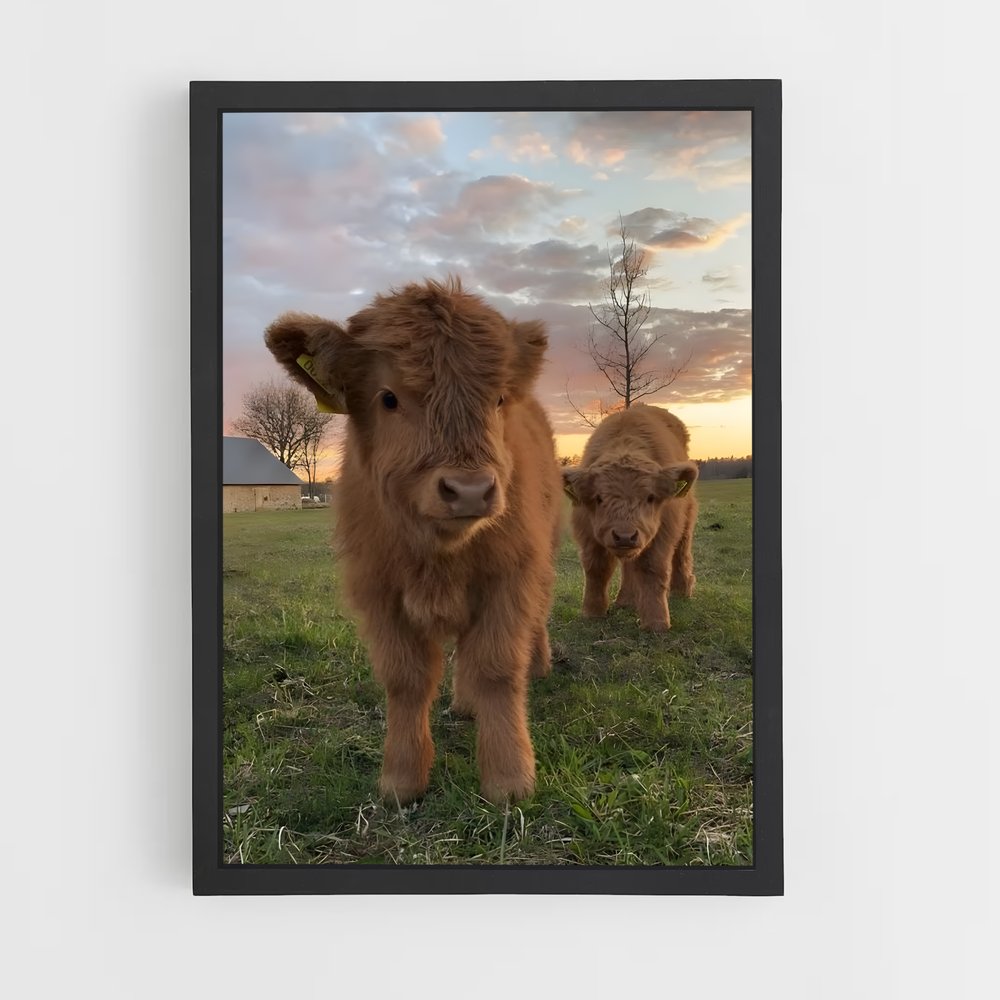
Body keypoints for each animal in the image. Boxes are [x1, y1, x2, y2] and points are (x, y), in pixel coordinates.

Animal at [264, 279, 562, 804]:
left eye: (498, 399)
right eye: (388, 398)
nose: (470, 489)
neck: (438, 554)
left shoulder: (509, 577)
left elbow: (498, 669)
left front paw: (509, 780)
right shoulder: (379, 592)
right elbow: (406, 680)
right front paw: (401, 780)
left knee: (534, 623)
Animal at [562, 405, 699, 632]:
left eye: (650, 497)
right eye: (599, 498)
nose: (625, 536)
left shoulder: (662, 532)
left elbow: (652, 568)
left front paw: (656, 622)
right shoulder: (587, 532)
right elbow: (596, 568)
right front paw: (592, 612)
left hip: (686, 518)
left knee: (681, 550)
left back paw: (682, 590)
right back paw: (626, 600)